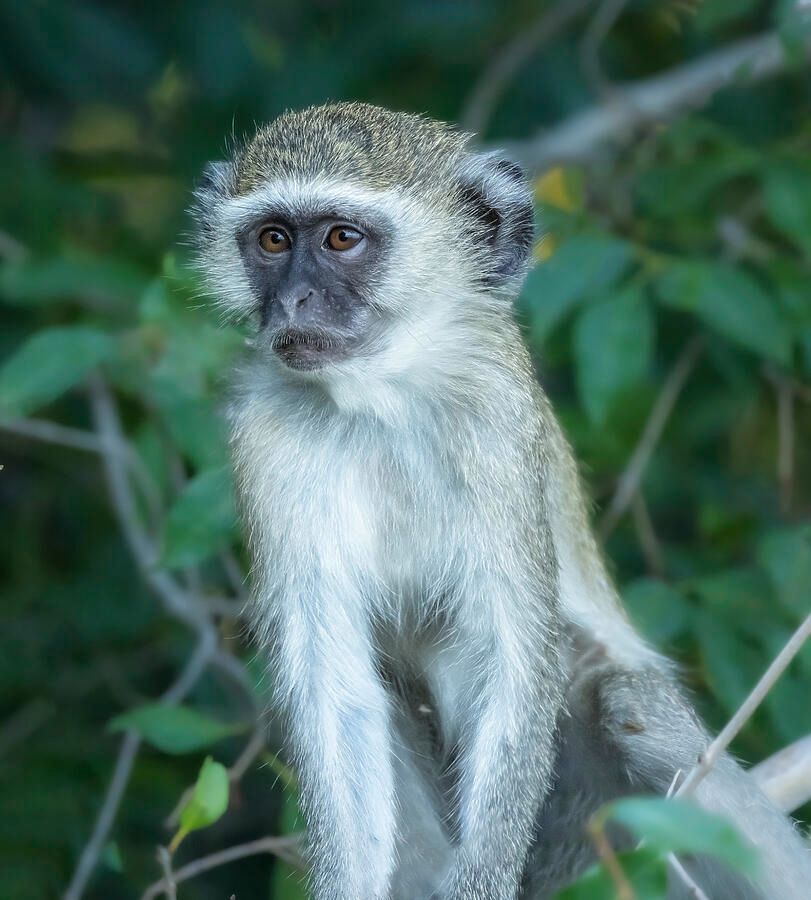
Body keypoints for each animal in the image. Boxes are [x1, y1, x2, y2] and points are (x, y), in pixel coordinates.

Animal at [192, 102, 811, 900]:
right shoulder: (263, 440)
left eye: (340, 238)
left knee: (630, 703)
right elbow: (337, 695)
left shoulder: (500, 420)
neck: (383, 398)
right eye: (272, 240)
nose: (291, 302)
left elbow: (512, 661)